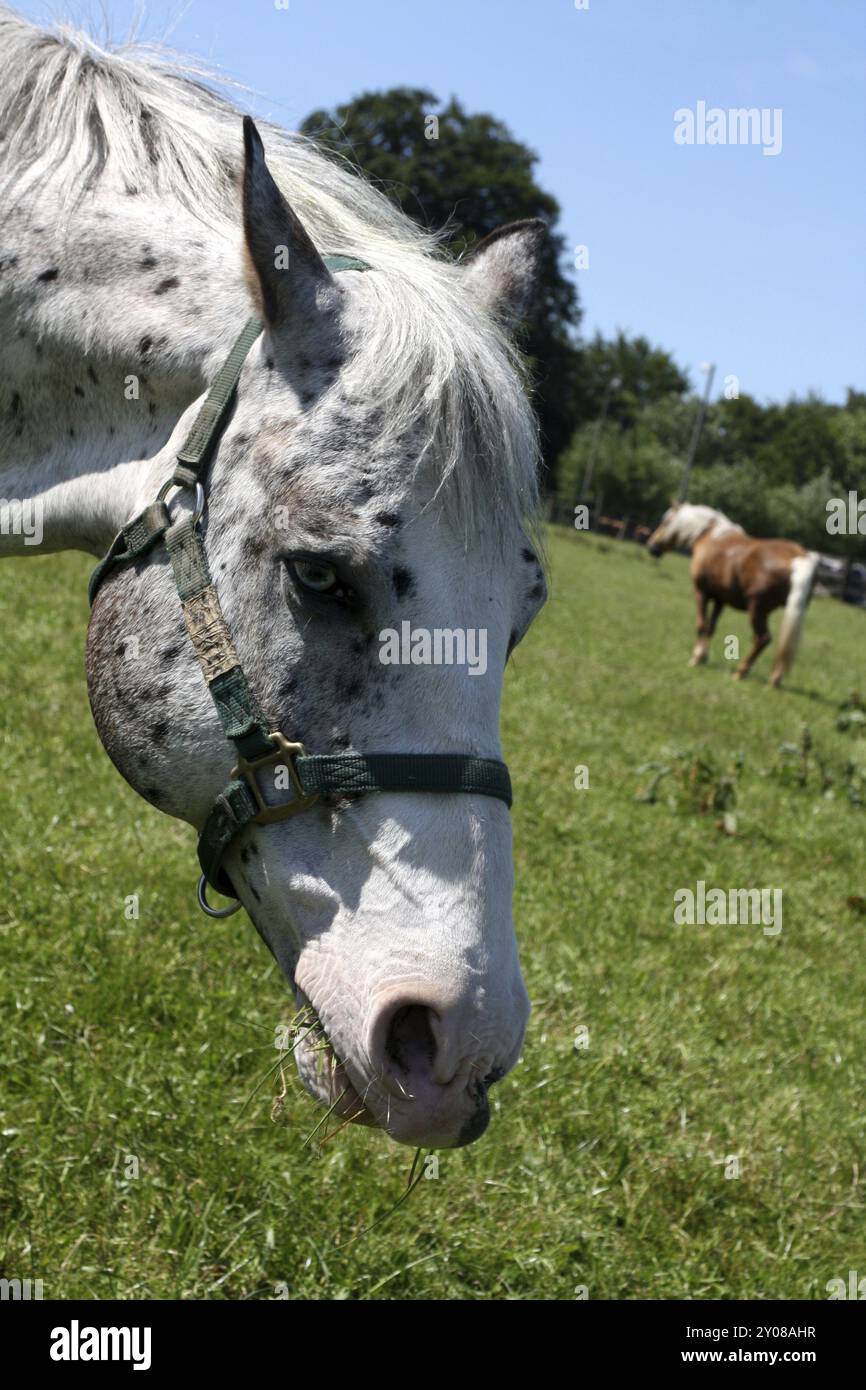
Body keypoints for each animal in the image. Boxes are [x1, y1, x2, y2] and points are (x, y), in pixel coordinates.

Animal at [644, 505, 817, 689]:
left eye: (666, 521)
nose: (652, 546)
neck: (710, 536)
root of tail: (797, 557)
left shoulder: (701, 592)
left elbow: (701, 624)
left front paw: (696, 657)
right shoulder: (720, 598)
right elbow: (711, 627)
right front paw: (703, 656)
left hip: (757, 609)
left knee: (762, 639)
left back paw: (741, 672)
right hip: (793, 610)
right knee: (785, 643)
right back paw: (775, 679)